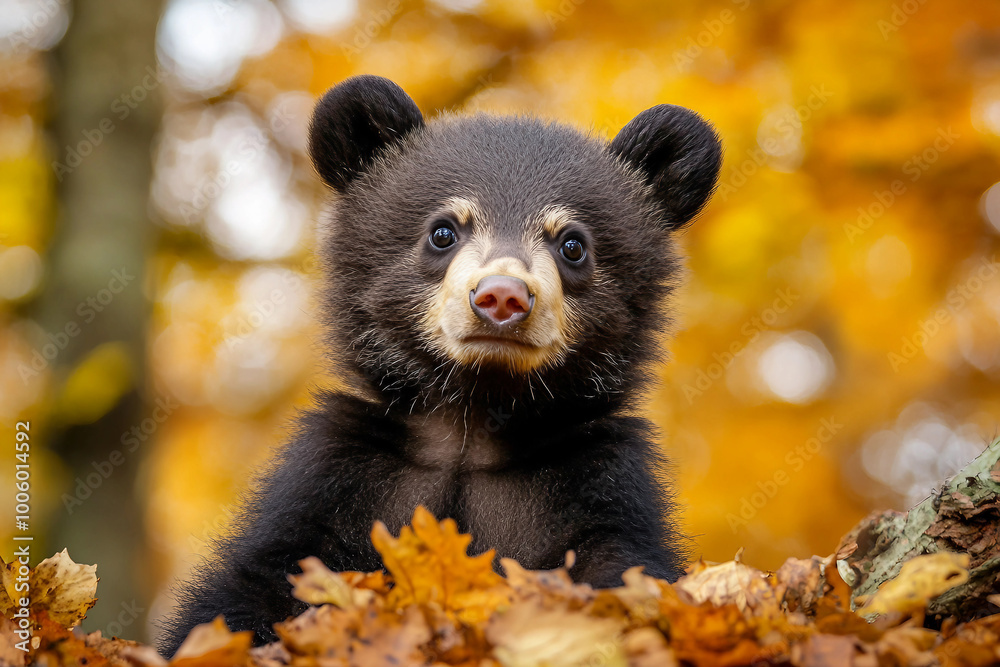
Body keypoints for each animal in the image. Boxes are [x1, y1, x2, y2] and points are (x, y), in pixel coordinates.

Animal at [158, 74, 721, 655]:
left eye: (573, 244)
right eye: (443, 232)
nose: (502, 297)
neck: (472, 419)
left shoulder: (598, 480)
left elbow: (623, 568)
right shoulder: (340, 473)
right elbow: (258, 584)